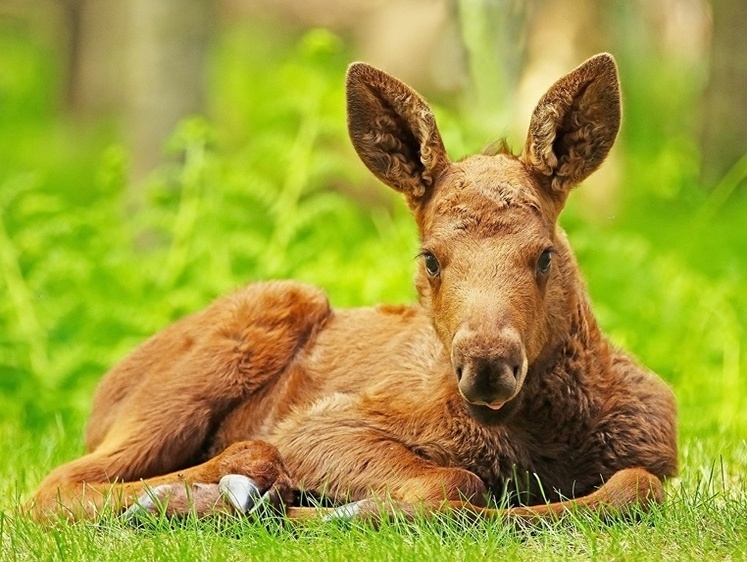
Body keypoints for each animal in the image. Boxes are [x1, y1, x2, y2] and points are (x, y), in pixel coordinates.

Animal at [29, 52, 676, 520]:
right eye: (431, 258)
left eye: (545, 255)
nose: (488, 363)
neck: (539, 440)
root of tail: (102, 397)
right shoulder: (322, 425)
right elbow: (454, 482)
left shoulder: (656, 450)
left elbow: (634, 485)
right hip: (259, 318)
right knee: (54, 486)